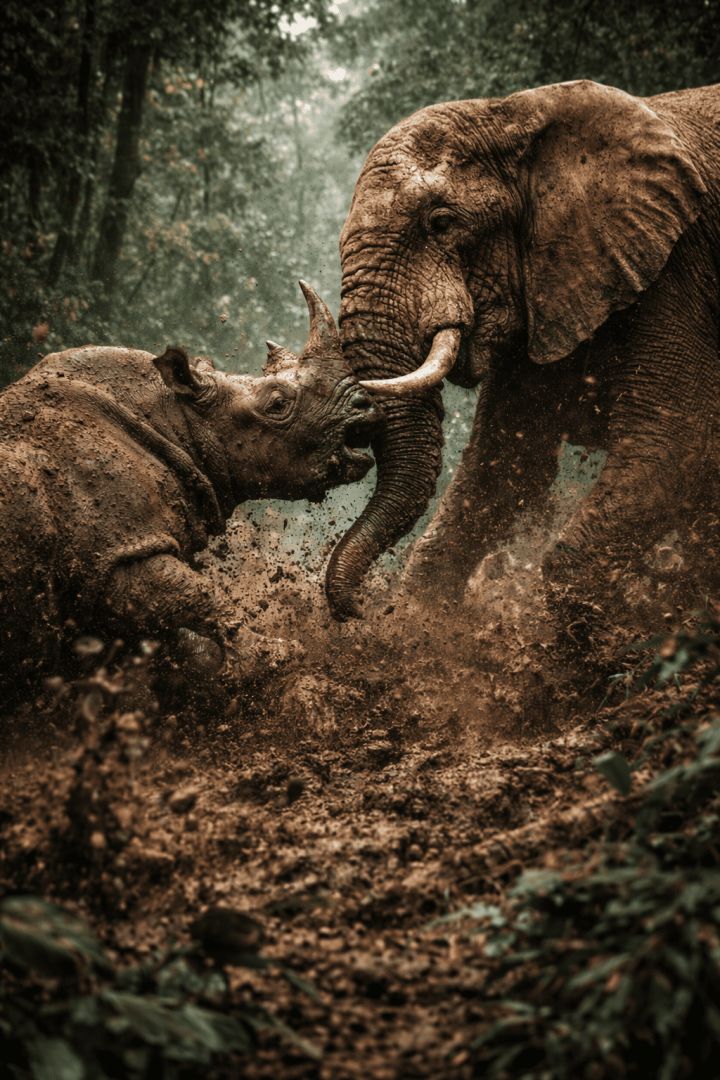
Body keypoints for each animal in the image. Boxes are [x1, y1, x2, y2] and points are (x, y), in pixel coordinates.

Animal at [0, 282, 380, 695]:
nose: (365, 406)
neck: (181, 419)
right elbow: (194, 594)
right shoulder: (119, 547)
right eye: (278, 404)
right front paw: (275, 658)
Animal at [325, 78, 720, 644]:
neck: (519, 112)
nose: (359, 611)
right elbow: (502, 475)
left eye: (440, 223)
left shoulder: (681, 272)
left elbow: (673, 455)